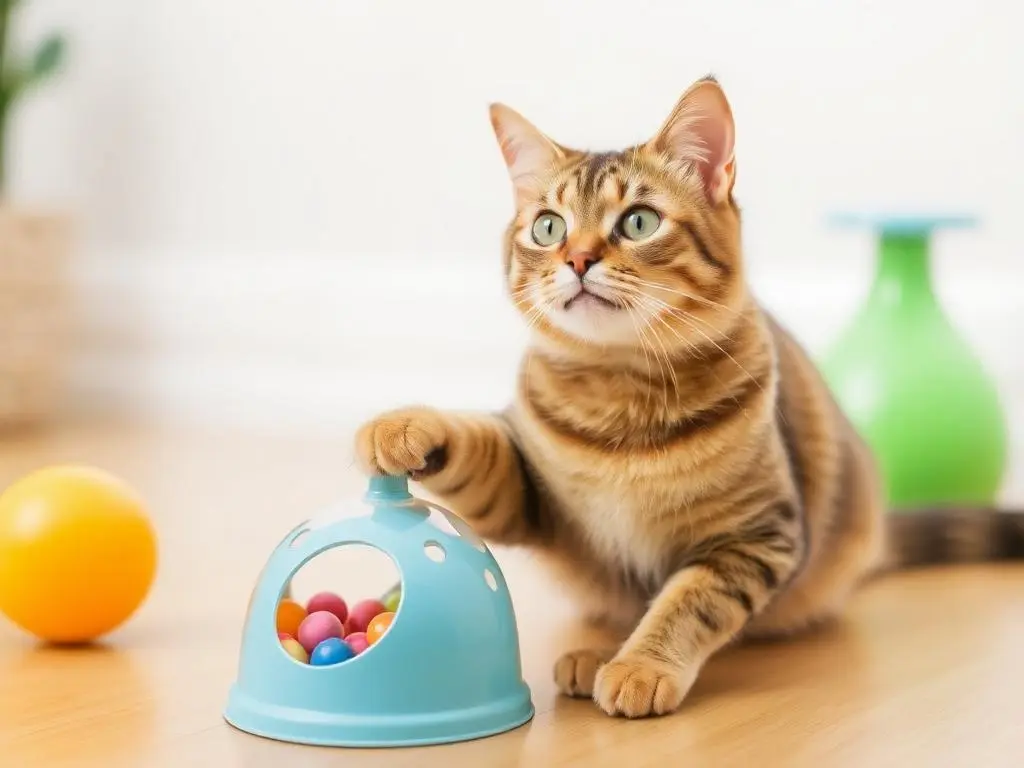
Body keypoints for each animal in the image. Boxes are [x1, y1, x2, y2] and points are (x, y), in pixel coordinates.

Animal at [354, 75, 1024, 720]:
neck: (621, 391)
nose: (577, 258)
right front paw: (404, 427)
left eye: (639, 221)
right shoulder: (527, 491)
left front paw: (640, 666)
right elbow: (477, 445)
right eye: (548, 227)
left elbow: (690, 600)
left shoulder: (754, 536)